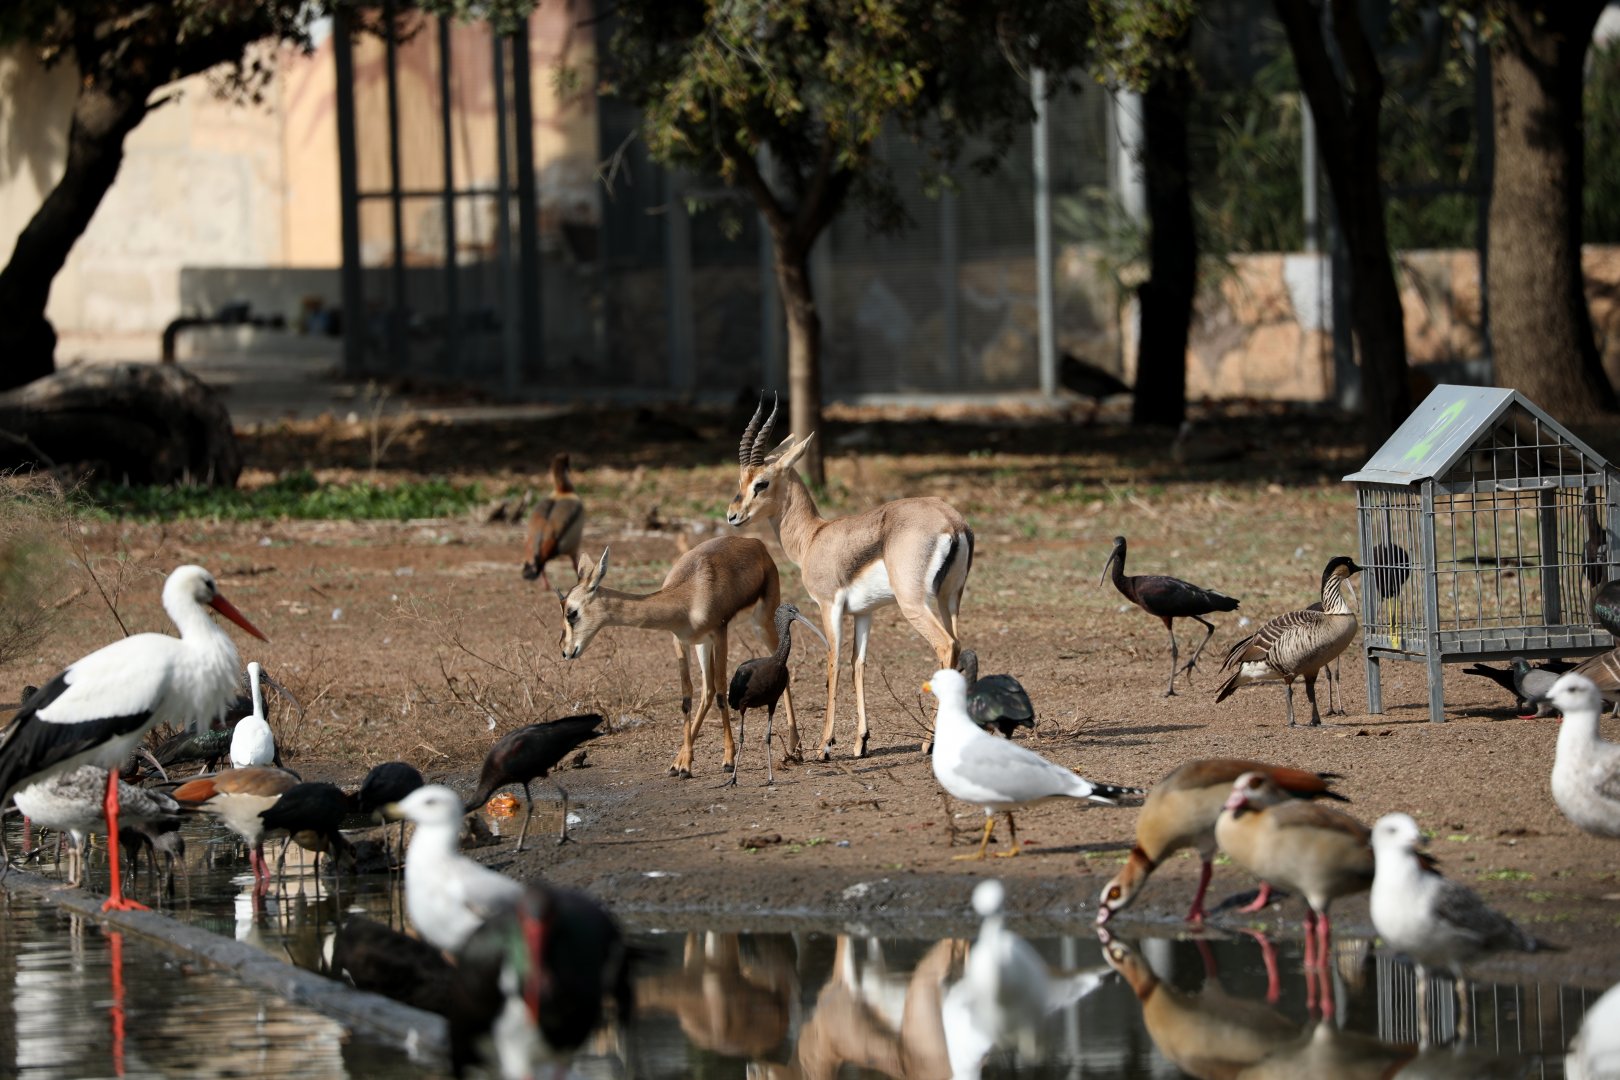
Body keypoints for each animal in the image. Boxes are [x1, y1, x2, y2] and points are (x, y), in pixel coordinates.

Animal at [558, 536, 798, 778]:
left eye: (572, 613)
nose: (565, 650)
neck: (690, 595)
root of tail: (756, 543)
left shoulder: (720, 634)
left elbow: (723, 692)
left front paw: (728, 761)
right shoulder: (681, 641)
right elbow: (687, 697)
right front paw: (684, 764)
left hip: (762, 623)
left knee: (778, 667)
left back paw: (795, 746)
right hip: (703, 644)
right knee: (707, 690)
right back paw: (679, 762)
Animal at [727, 394, 973, 760]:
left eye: (761, 483)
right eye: (741, 480)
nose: (732, 516)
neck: (813, 537)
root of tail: (952, 522)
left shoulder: (829, 606)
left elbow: (834, 662)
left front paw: (824, 745)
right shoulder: (863, 613)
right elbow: (859, 663)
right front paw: (861, 742)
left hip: (914, 603)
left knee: (947, 645)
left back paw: (929, 741)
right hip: (950, 599)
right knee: (958, 643)